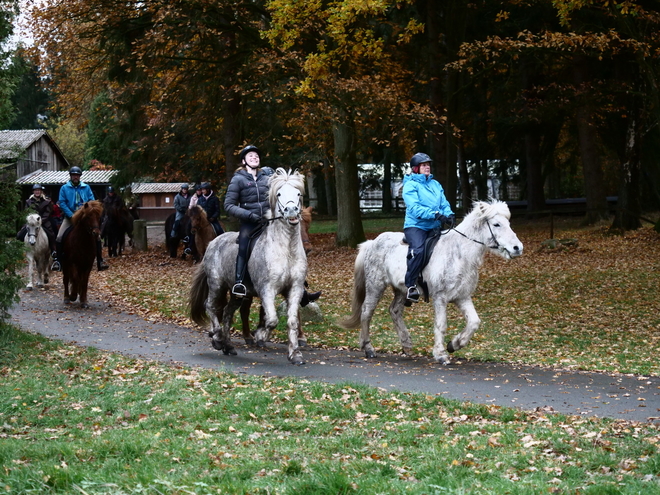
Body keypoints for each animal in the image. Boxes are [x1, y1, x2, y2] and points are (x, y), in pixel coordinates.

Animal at [188, 169, 306, 366]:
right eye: (279, 194)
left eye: (298, 194)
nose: (291, 211)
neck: (286, 249)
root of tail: (213, 243)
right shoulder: (267, 289)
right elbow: (272, 320)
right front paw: (260, 336)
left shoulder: (295, 289)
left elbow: (292, 322)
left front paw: (295, 355)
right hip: (217, 285)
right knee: (210, 307)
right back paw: (217, 339)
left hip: (236, 293)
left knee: (227, 313)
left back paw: (228, 346)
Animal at [340, 200, 520, 366]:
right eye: (496, 224)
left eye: (508, 223)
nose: (518, 248)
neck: (458, 253)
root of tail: (372, 243)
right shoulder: (440, 297)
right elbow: (441, 324)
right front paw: (440, 355)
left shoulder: (462, 297)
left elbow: (474, 322)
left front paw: (454, 344)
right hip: (375, 285)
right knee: (366, 312)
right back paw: (368, 348)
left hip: (401, 289)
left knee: (394, 311)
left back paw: (406, 343)